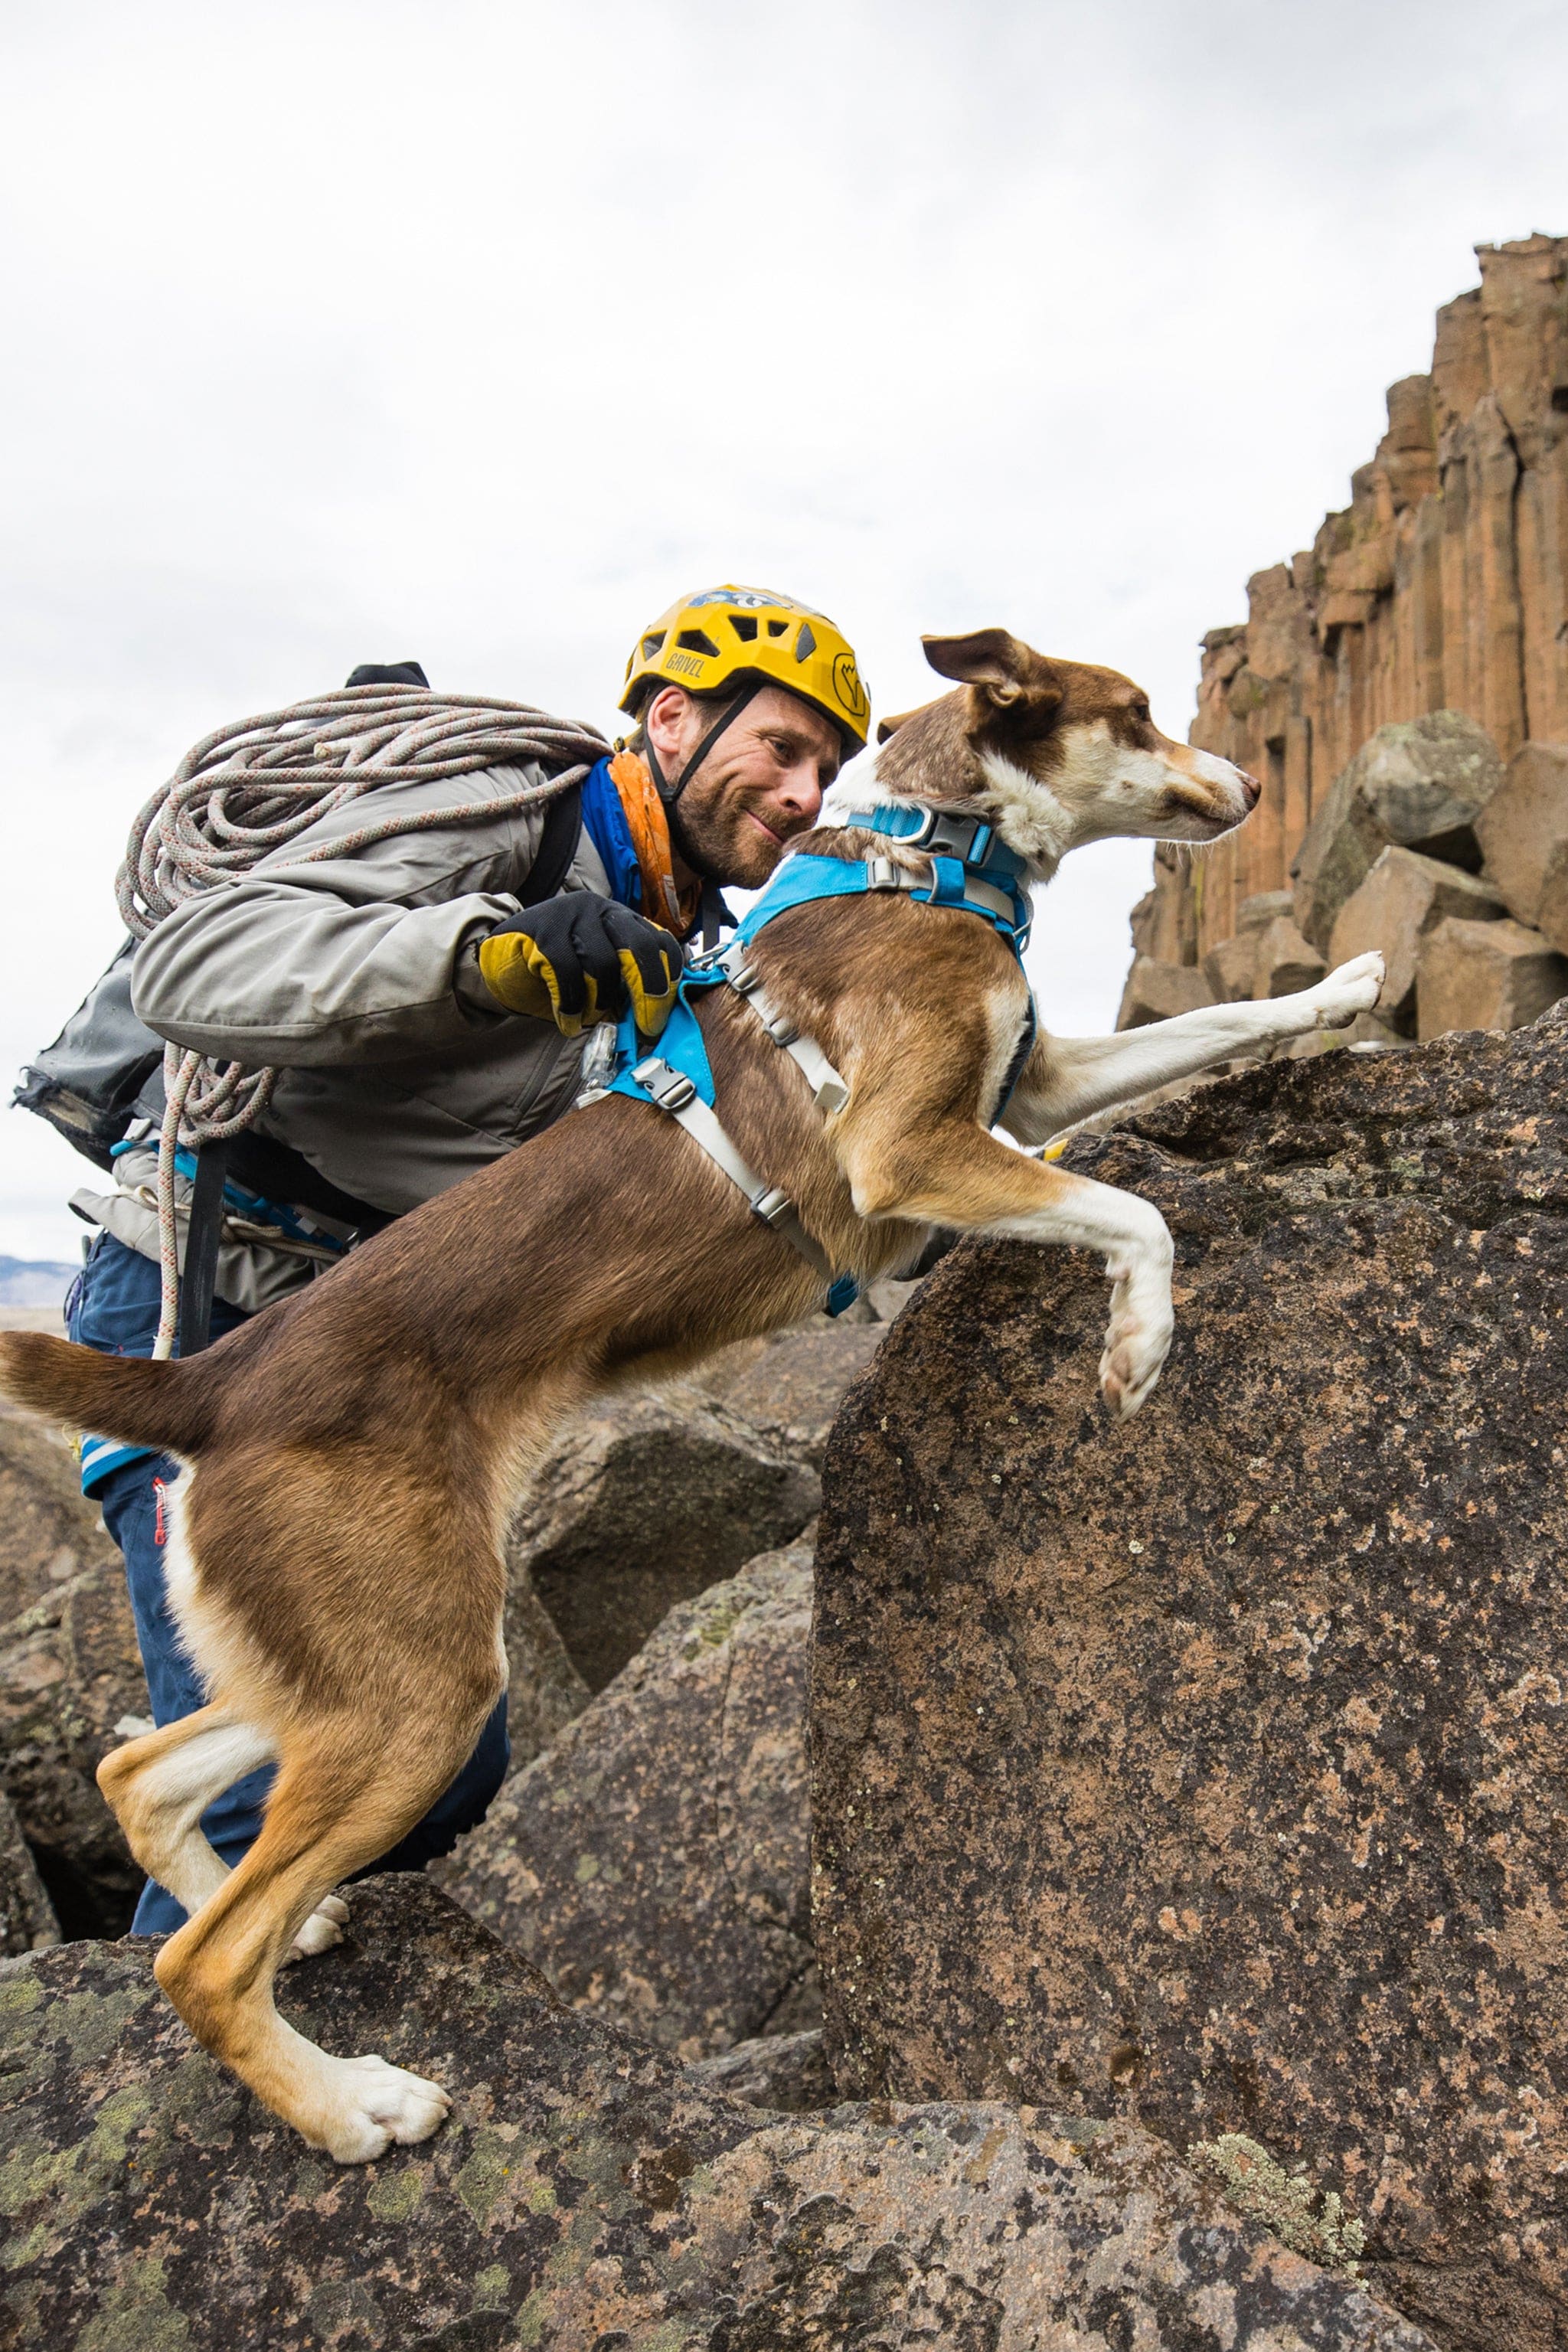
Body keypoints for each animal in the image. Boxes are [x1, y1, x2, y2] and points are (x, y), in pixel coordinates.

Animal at [0, 626, 1382, 2154]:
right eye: (1134, 713)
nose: (1248, 780)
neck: (925, 852)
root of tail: (212, 1380)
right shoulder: (913, 1146)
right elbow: (1136, 1213)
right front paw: (1138, 1344)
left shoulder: (1035, 1081)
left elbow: (1224, 1017)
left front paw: (1343, 992)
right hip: (419, 1680)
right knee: (200, 1958)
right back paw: (351, 2104)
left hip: (350, 1661)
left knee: (134, 1776)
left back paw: (288, 1940)